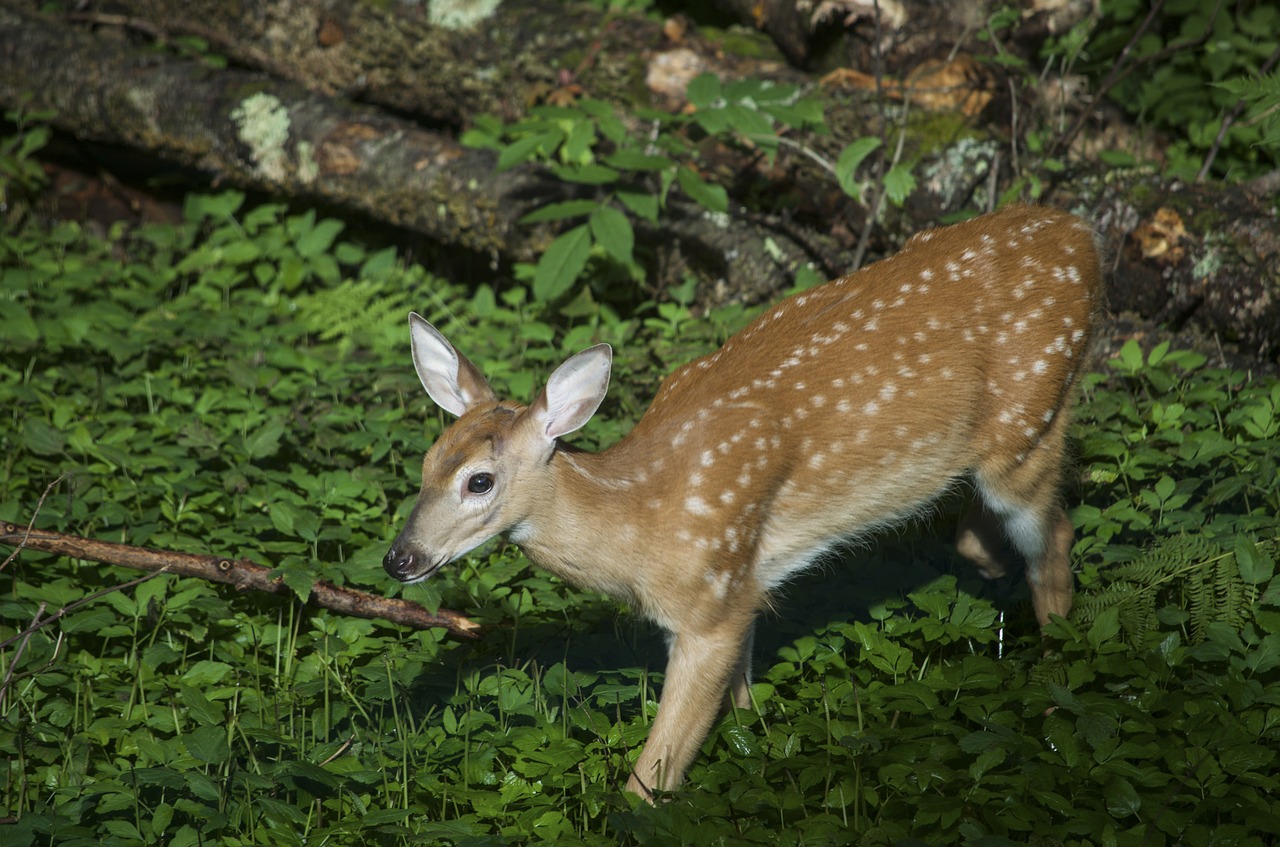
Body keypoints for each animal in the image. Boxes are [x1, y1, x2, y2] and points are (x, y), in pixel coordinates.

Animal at [381, 202, 1100, 798]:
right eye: (426, 463)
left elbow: (653, 776)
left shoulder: (709, 602)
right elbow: (744, 705)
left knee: (1057, 539)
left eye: (479, 480)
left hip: (1029, 424)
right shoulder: (741, 584)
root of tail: (1082, 235)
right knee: (986, 536)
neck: (643, 517)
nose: (399, 559)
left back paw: (1057, 692)